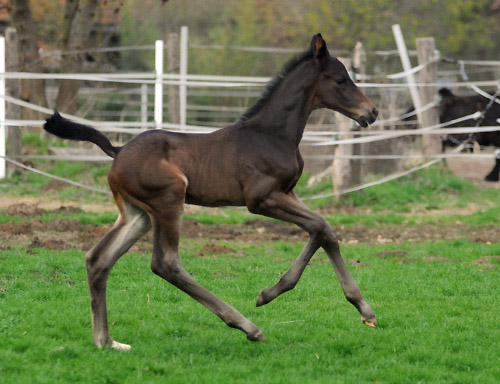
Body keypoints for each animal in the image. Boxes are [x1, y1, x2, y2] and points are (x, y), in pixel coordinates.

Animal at [44, 34, 378, 350]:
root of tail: (118, 150)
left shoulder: (288, 193)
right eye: (341, 80)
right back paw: (247, 326)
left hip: (138, 214)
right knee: (165, 263)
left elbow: (324, 231)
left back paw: (107, 341)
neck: (271, 135)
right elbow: (319, 226)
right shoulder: (261, 199)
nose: (372, 111)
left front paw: (363, 309)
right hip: (168, 201)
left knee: (98, 258)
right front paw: (269, 294)